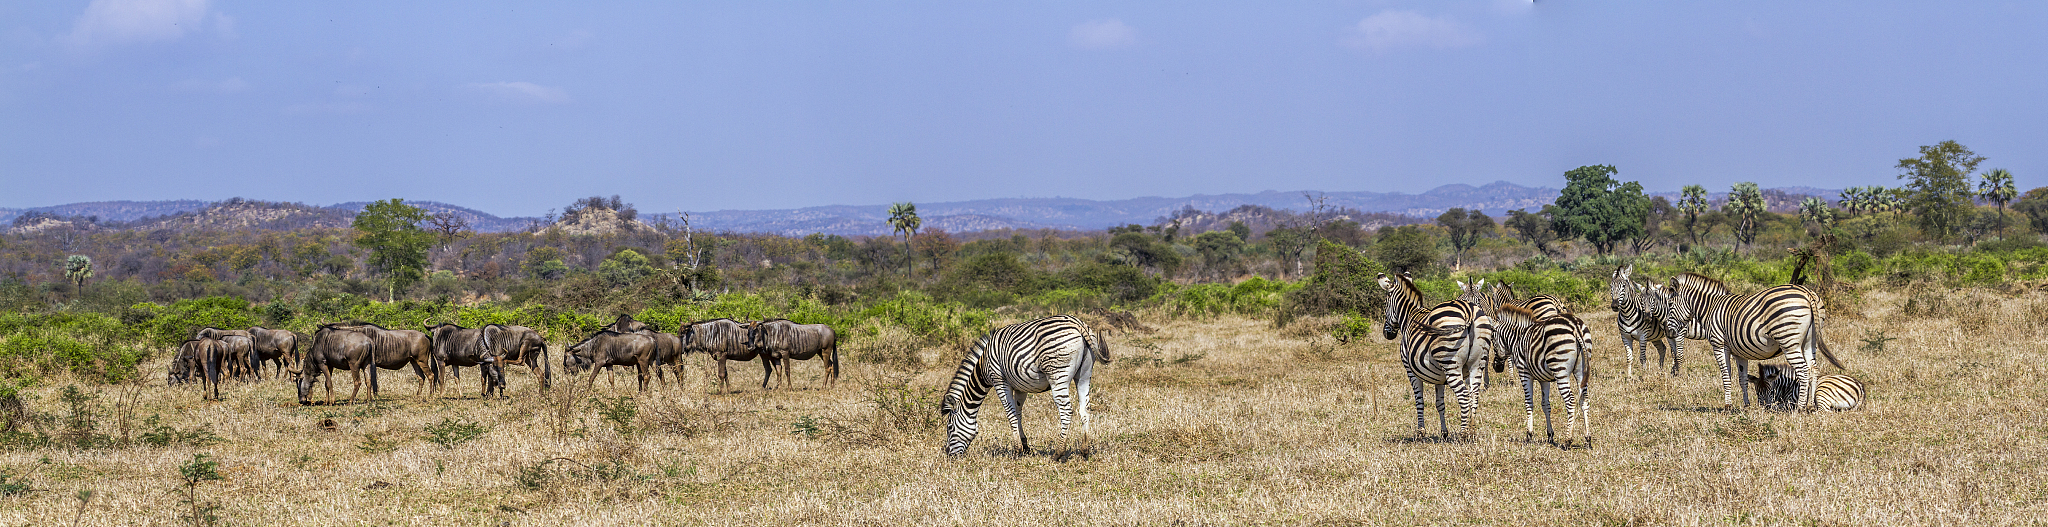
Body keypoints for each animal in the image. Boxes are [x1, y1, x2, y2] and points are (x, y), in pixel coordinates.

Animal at [939, 315, 1110, 456]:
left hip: (1057, 374)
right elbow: (1018, 413)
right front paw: (1025, 446)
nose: (949, 454)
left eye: (950, 427)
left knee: (1066, 410)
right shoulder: (1021, 387)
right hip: (1084, 374)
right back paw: (1084, 450)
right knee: (1085, 408)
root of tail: (1077, 323)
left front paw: (1016, 450)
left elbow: (1010, 414)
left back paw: (1058, 453)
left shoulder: (999, 380)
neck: (983, 366)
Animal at [1380, 272, 1488, 440]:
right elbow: (1440, 404)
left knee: (1464, 395)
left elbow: (1419, 400)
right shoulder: (1439, 376)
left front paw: (1420, 431)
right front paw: (1444, 432)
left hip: (1451, 364)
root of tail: (1469, 311)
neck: (1409, 316)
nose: (1387, 334)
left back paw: (1463, 434)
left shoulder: (1410, 370)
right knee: (1474, 395)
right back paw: (1472, 431)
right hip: (1477, 363)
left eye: (1385, 304)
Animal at [1490, 304, 1594, 447]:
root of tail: (1574, 324)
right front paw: (1550, 435)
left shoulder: (1524, 373)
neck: (1517, 339)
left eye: (1492, 340)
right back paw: (1588, 439)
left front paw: (1529, 435)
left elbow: (1529, 402)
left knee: (1570, 401)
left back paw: (1568, 440)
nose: (1496, 367)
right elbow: (1546, 405)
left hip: (1560, 370)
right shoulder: (1544, 379)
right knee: (1584, 400)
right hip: (1581, 370)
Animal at [1663, 273, 1845, 411]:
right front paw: (1746, 405)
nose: (1668, 331)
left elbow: (1726, 376)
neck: (1710, 308)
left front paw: (1728, 406)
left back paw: (1800, 407)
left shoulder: (1719, 345)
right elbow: (1742, 378)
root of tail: (1807, 293)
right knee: (1814, 369)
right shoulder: (1739, 352)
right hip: (1809, 342)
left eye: (1670, 304)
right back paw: (1811, 405)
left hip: (1789, 341)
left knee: (1803, 371)